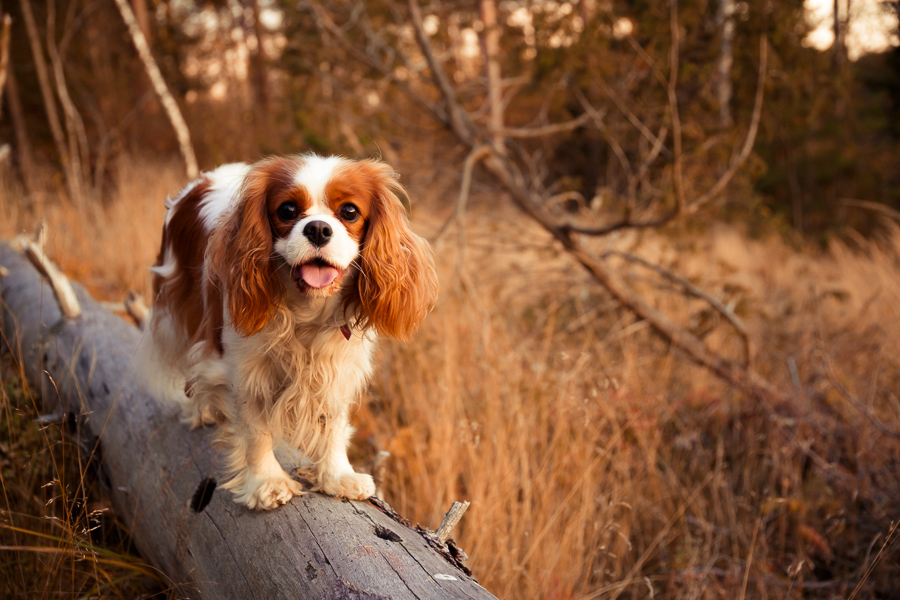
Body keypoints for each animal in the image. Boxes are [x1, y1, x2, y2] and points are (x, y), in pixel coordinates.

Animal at [145, 156, 440, 510]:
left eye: (349, 211)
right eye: (287, 210)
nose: (318, 228)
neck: (308, 309)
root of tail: (202, 179)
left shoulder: (338, 367)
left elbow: (333, 421)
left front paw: (337, 475)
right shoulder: (244, 371)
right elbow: (255, 430)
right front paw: (267, 482)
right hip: (176, 310)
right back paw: (198, 410)